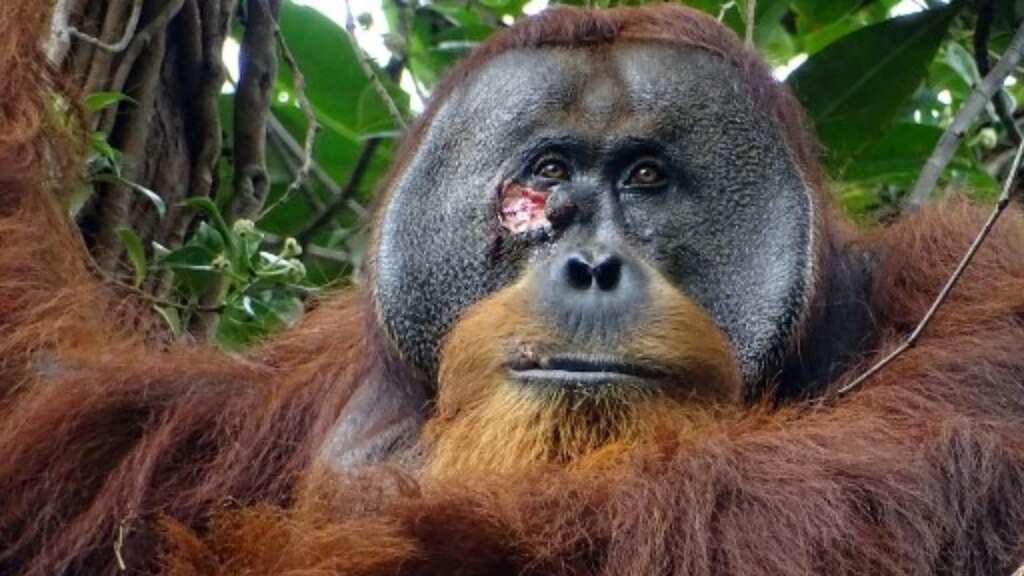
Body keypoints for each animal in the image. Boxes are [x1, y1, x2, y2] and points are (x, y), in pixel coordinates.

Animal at [1, 4, 1023, 575]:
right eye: (549, 172)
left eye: (646, 178)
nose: (591, 265)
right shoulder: (269, 400)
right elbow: (53, 403)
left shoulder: (972, 288)